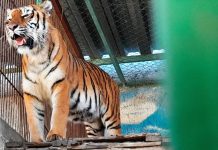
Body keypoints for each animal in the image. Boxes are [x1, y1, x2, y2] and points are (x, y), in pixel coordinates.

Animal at [4, 0, 121, 143]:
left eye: (26, 15)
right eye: (8, 20)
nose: (11, 27)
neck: (36, 55)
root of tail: (112, 80)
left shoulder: (60, 83)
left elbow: (58, 113)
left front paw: (55, 135)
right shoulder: (31, 93)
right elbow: (33, 120)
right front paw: (36, 141)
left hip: (111, 115)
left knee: (114, 132)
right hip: (93, 123)